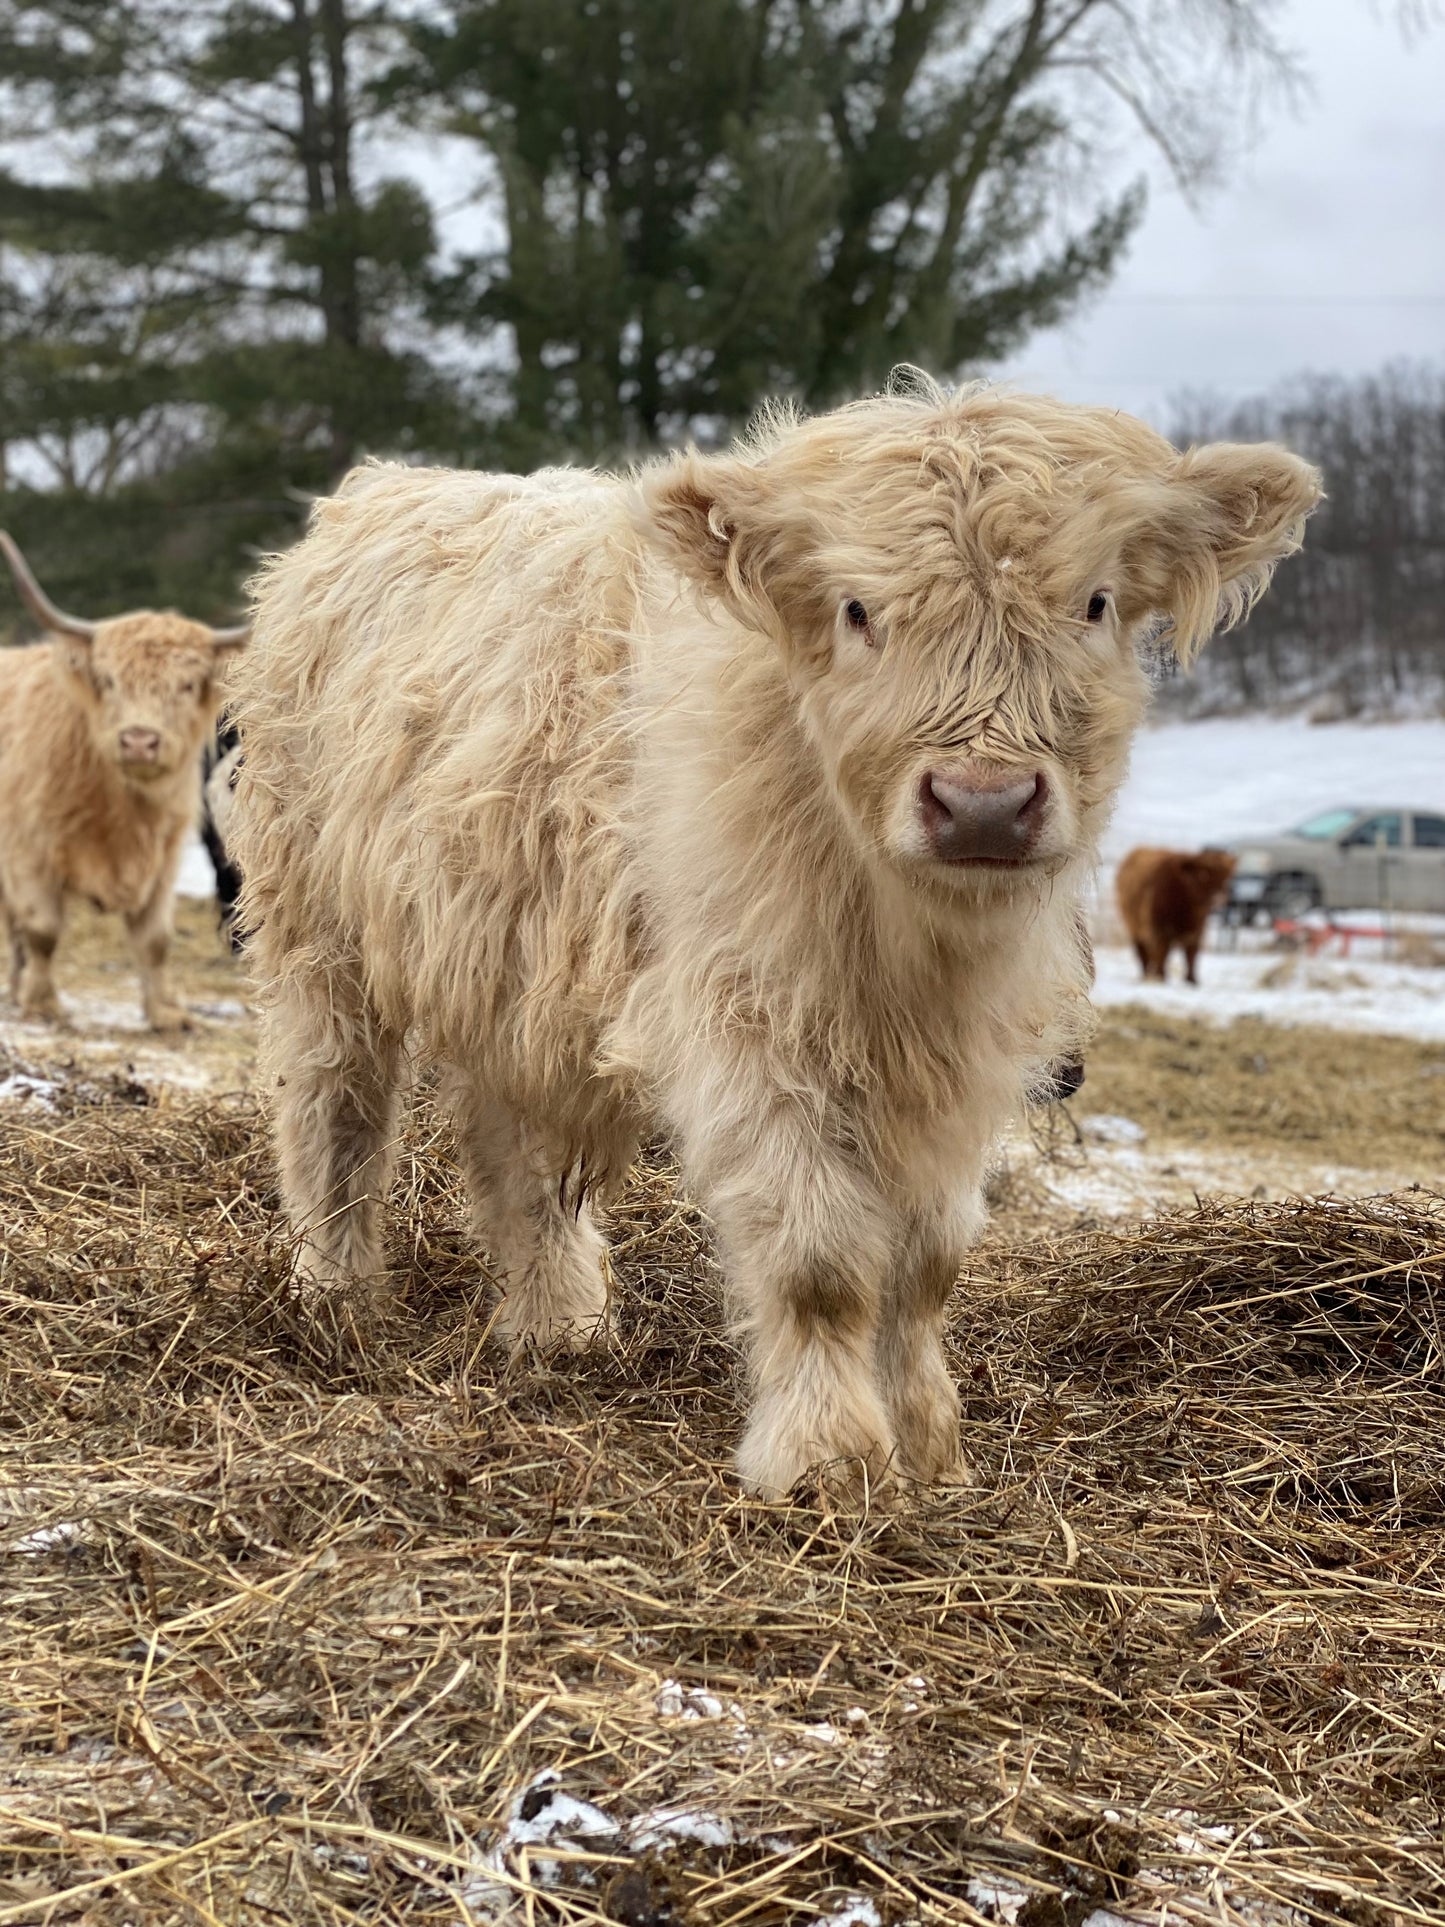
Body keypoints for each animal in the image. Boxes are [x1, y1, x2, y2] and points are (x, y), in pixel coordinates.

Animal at [0, 534, 248, 1030]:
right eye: (110, 680)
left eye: (187, 685)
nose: (138, 741)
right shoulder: (29, 854)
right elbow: (43, 929)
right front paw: (44, 1003)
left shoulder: (165, 860)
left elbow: (156, 939)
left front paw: (167, 1012)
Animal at [1116, 846, 1238, 983]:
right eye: (1203, 875)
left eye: (1226, 877)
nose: (1218, 897)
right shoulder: (1160, 931)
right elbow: (1162, 952)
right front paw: (1161, 977)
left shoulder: (1196, 931)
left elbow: (1191, 955)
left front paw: (1192, 980)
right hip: (1134, 928)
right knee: (1143, 953)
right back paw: (1147, 974)